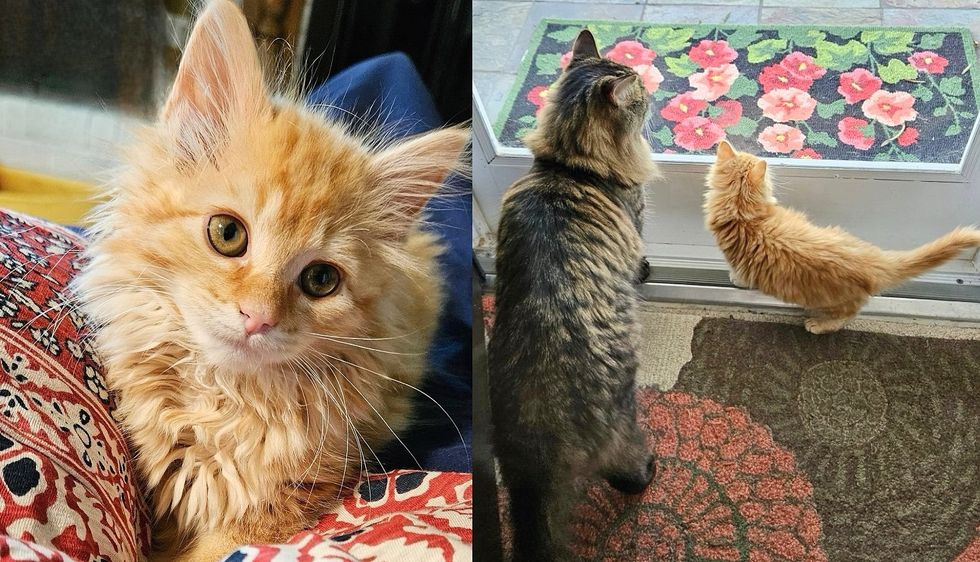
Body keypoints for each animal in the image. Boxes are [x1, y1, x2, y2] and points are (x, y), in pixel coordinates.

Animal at [704, 140, 980, 332]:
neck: (742, 214)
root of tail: (872, 262)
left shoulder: (738, 261)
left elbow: (739, 276)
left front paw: (735, 279)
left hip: (835, 305)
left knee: (848, 316)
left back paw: (818, 325)